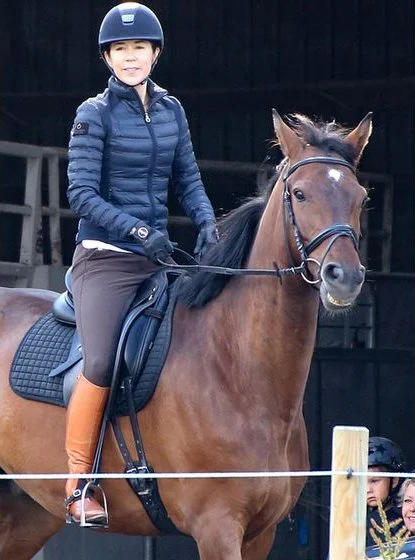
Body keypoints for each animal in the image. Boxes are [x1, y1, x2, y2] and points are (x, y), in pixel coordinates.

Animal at [0, 108, 372, 556]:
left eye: (362, 198)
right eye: (299, 194)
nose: (344, 277)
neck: (237, 368)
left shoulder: (260, 534)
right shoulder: (217, 528)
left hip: (27, 515)